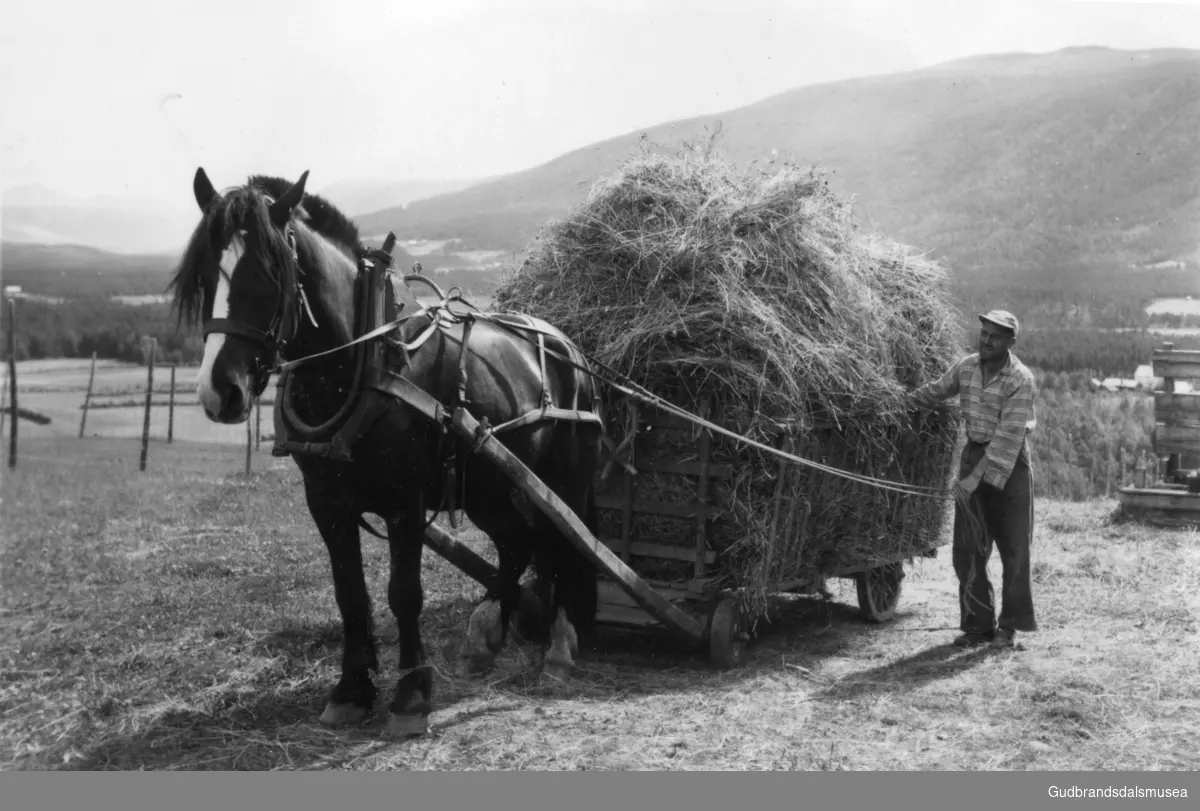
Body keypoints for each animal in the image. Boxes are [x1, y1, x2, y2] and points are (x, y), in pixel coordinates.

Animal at [164, 167, 604, 739]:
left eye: (269, 273)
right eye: (203, 277)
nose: (220, 392)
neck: (362, 360)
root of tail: (567, 346)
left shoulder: (405, 502)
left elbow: (404, 593)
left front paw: (411, 695)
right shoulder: (326, 502)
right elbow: (350, 594)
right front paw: (351, 691)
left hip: (561, 480)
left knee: (565, 544)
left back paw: (558, 648)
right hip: (490, 484)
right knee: (518, 544)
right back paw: (486, 636)